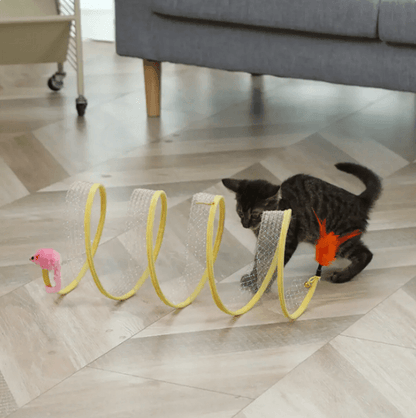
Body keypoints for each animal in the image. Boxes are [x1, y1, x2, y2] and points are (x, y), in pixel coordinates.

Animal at [223, 162, 382, 292]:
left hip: (340, 240)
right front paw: (253, 278)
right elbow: (258, 261)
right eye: (240, 212)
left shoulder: (287, 243)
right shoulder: (265, 242)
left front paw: (261, 287)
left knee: (366, 254)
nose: (245, 225)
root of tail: (359, 200)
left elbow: (273, 267)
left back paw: (343, 276)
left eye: (255, 214)